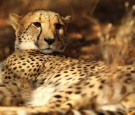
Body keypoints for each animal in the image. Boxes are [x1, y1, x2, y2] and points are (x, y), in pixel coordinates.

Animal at [0, 9, 135, 114]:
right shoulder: (18, 88)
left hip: (86, 83)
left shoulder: (19, 84)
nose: (50, 40)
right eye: (36, 24)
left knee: (48, 110)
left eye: (58, 26)